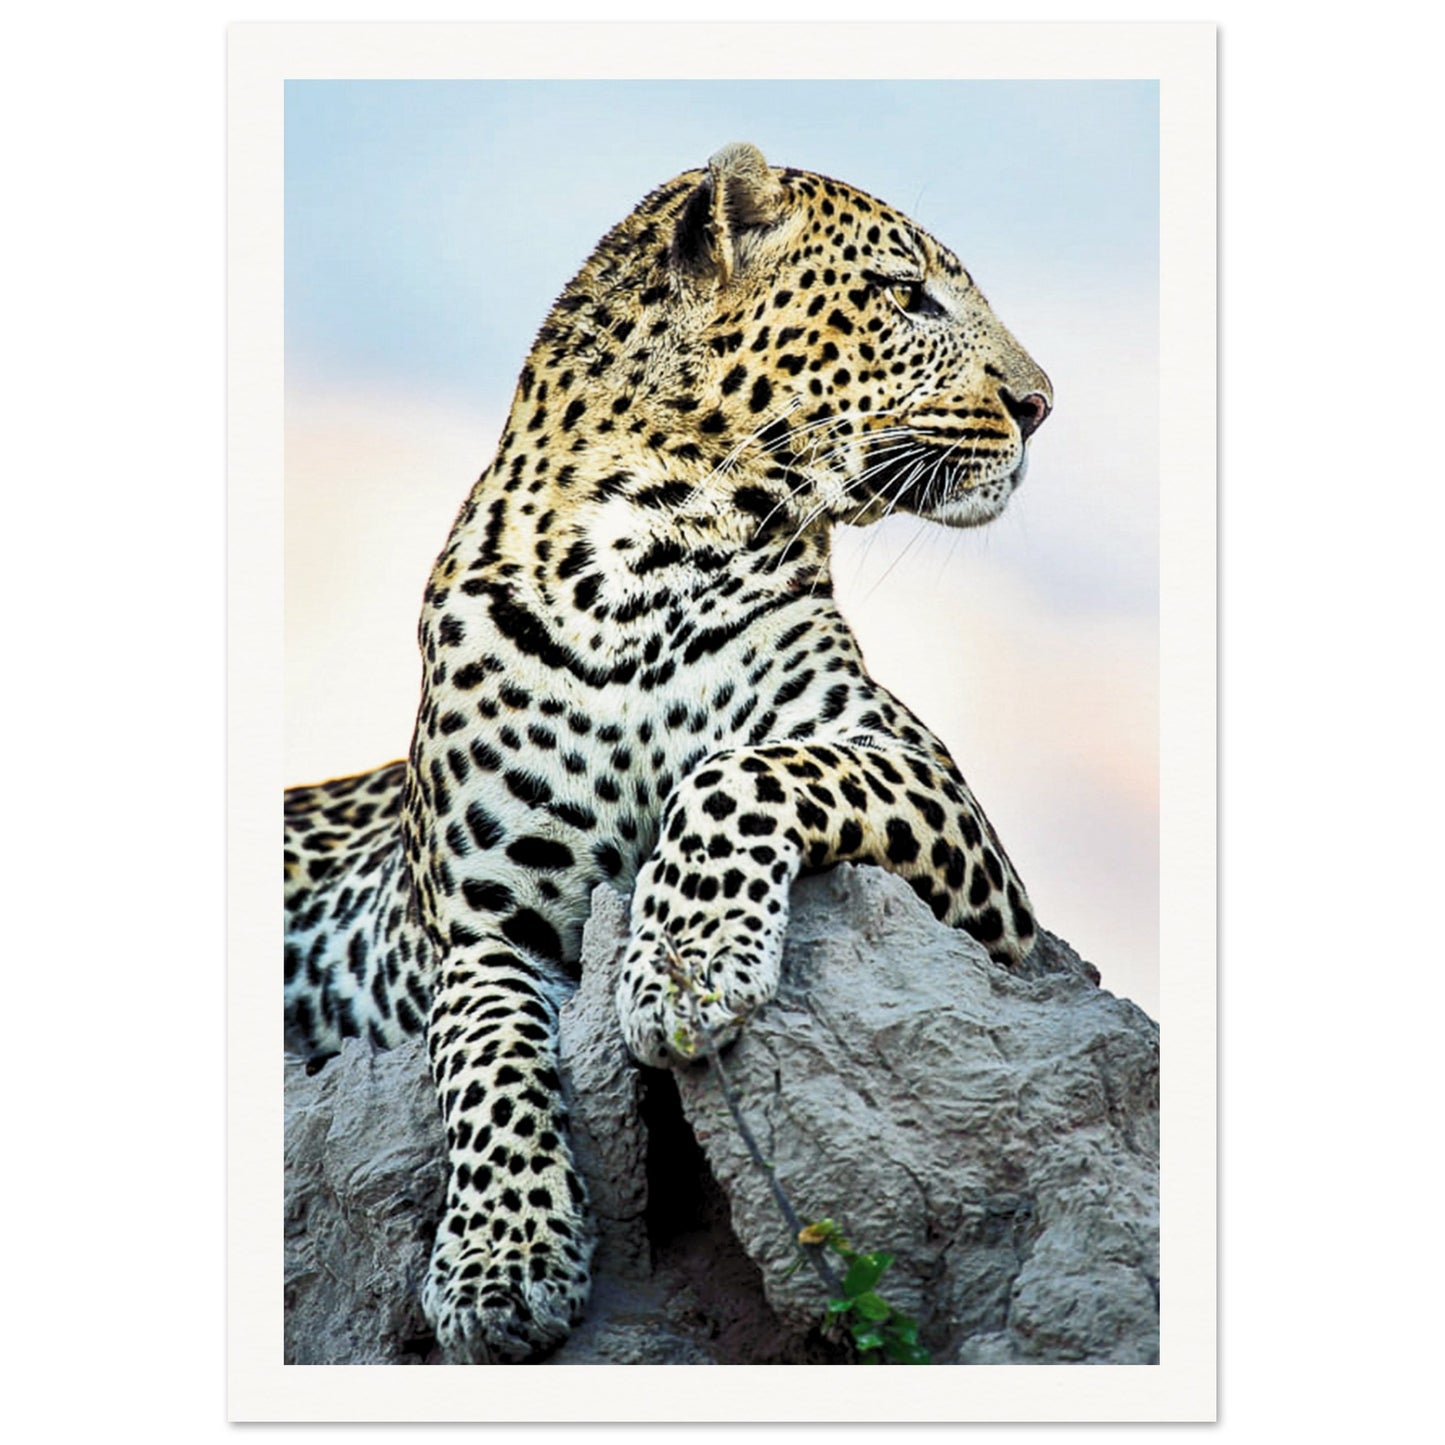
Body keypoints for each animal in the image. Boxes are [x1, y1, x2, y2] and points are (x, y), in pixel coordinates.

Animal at [284, 142, 1052, 1364]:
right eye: (906, 295)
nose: (1041, 404)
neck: (635, 560)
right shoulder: (478, 928)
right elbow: (485, 1057)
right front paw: (501, 1266)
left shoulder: (946, 818)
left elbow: (738, 770)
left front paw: (683, 970)